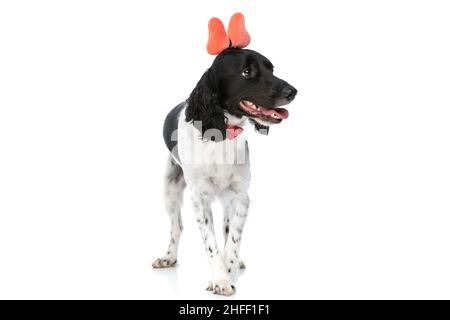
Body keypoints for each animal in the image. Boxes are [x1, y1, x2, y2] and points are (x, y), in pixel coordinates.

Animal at [153, 21, 298, 298]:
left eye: (271, 68)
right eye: (246, 71)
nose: (292, 91)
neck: (221, 135)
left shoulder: (240, 197)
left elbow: (232, 241)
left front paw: (228, 272)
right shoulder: (199, 200)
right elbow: (211, 245)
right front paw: (220, 279)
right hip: (169, 189)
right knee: (177, 227)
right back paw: (168, 256)